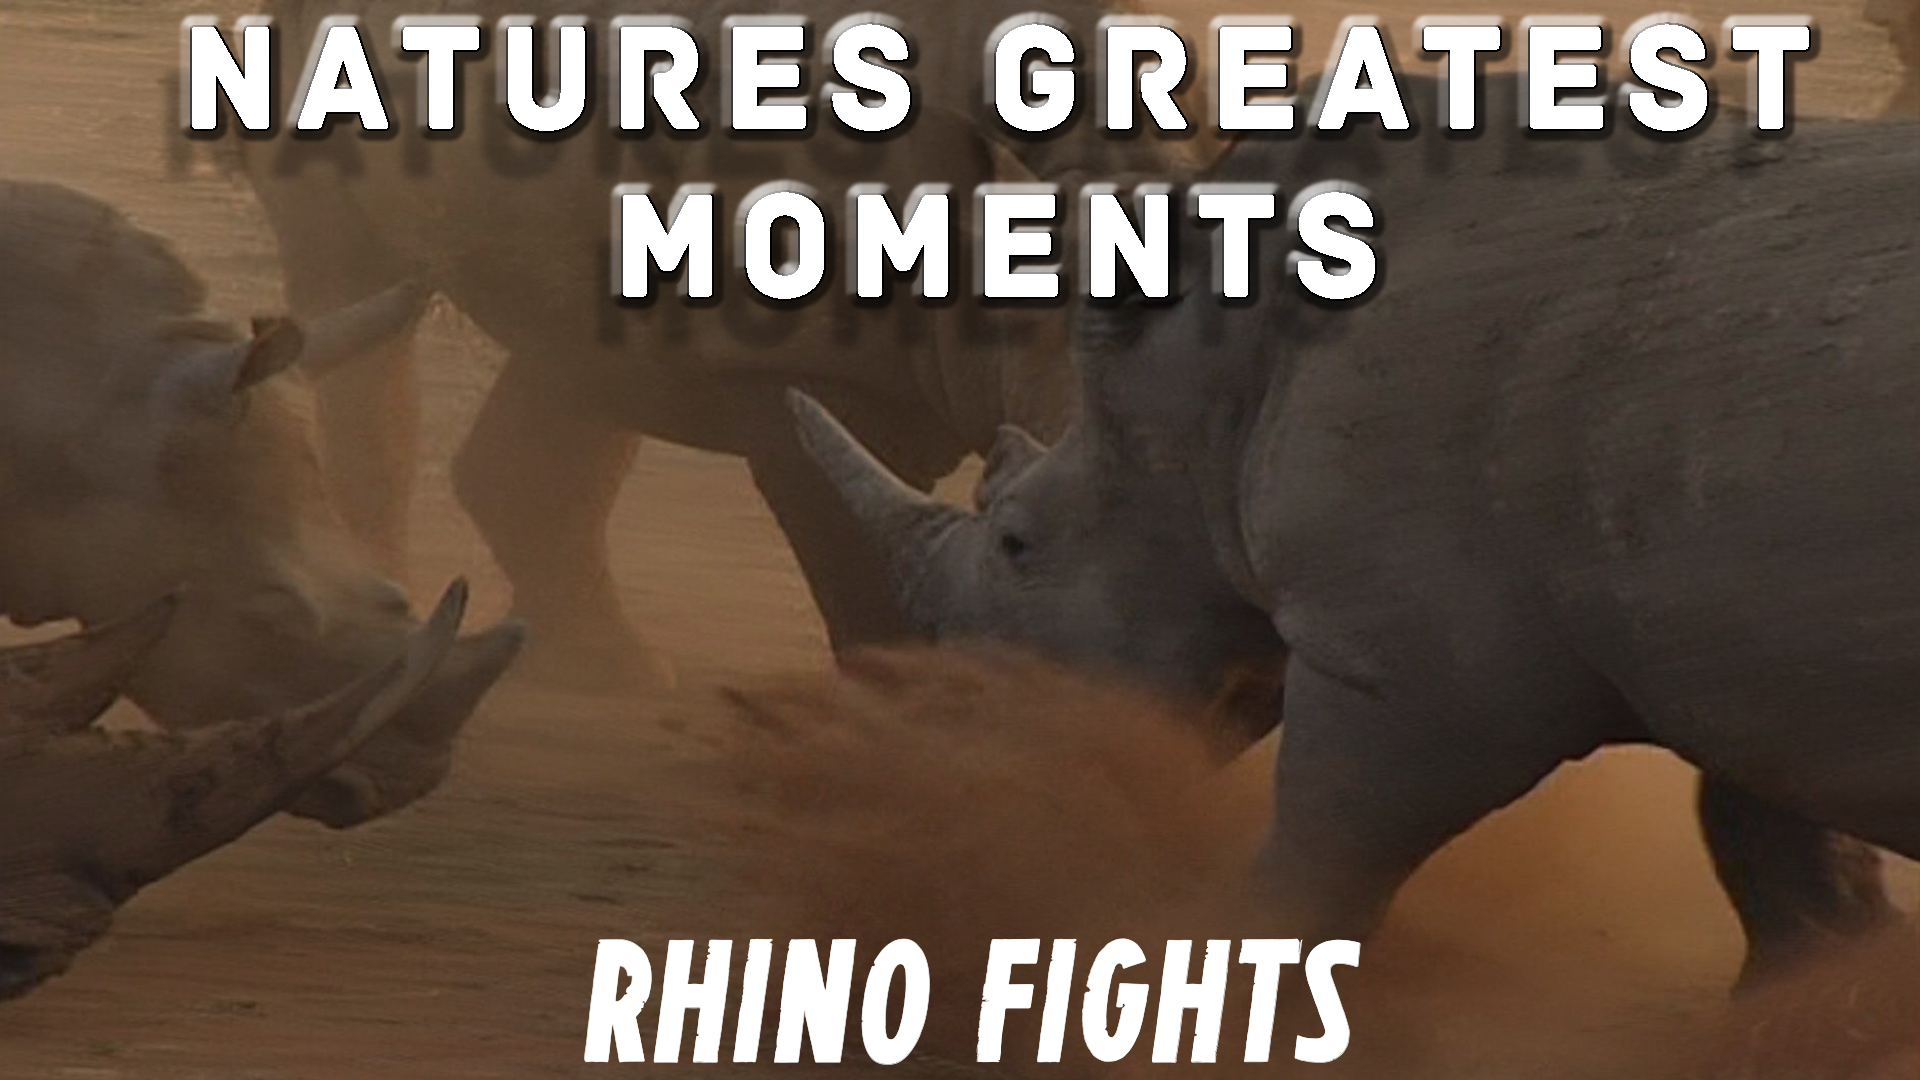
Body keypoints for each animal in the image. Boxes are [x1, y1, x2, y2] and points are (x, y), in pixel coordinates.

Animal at [794, 75, 1920, 985]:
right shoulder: (1743, 656)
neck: (1202, 385)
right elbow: (1786, 874)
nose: (962, 759)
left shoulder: (1412, 669)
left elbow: (1317, 867)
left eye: (1019, 543)